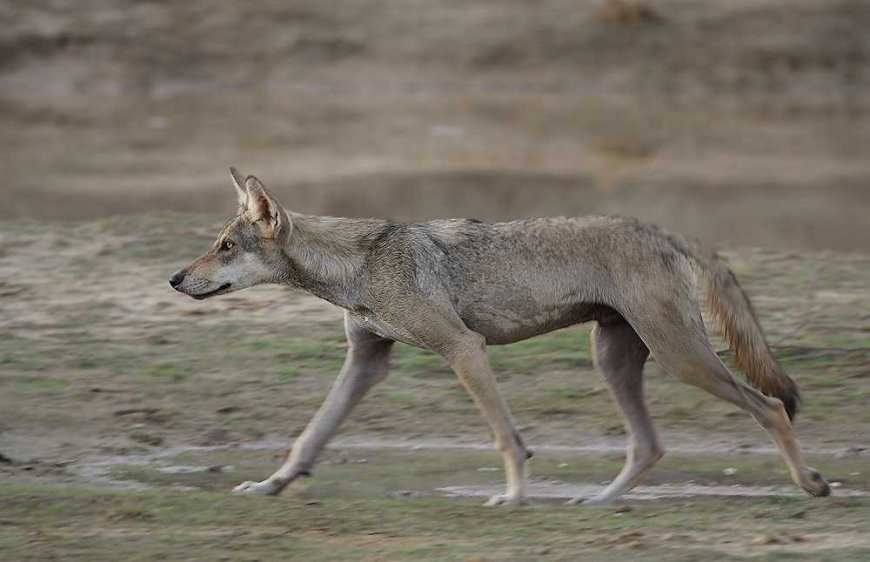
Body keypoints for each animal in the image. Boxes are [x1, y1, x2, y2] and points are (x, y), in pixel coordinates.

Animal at [169, 167, 832, 504]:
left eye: (224, 246)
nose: (175, 279)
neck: (357, 263)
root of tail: (663, 230)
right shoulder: (366, 362)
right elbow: (309, 438)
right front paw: (271, 484)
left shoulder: (463, 350)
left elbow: (507, 438)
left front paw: (512, 497)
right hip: (615, 360)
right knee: (649, 445)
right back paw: (597, 501)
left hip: (681, 359)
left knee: (770, 406)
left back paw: (811, 483)